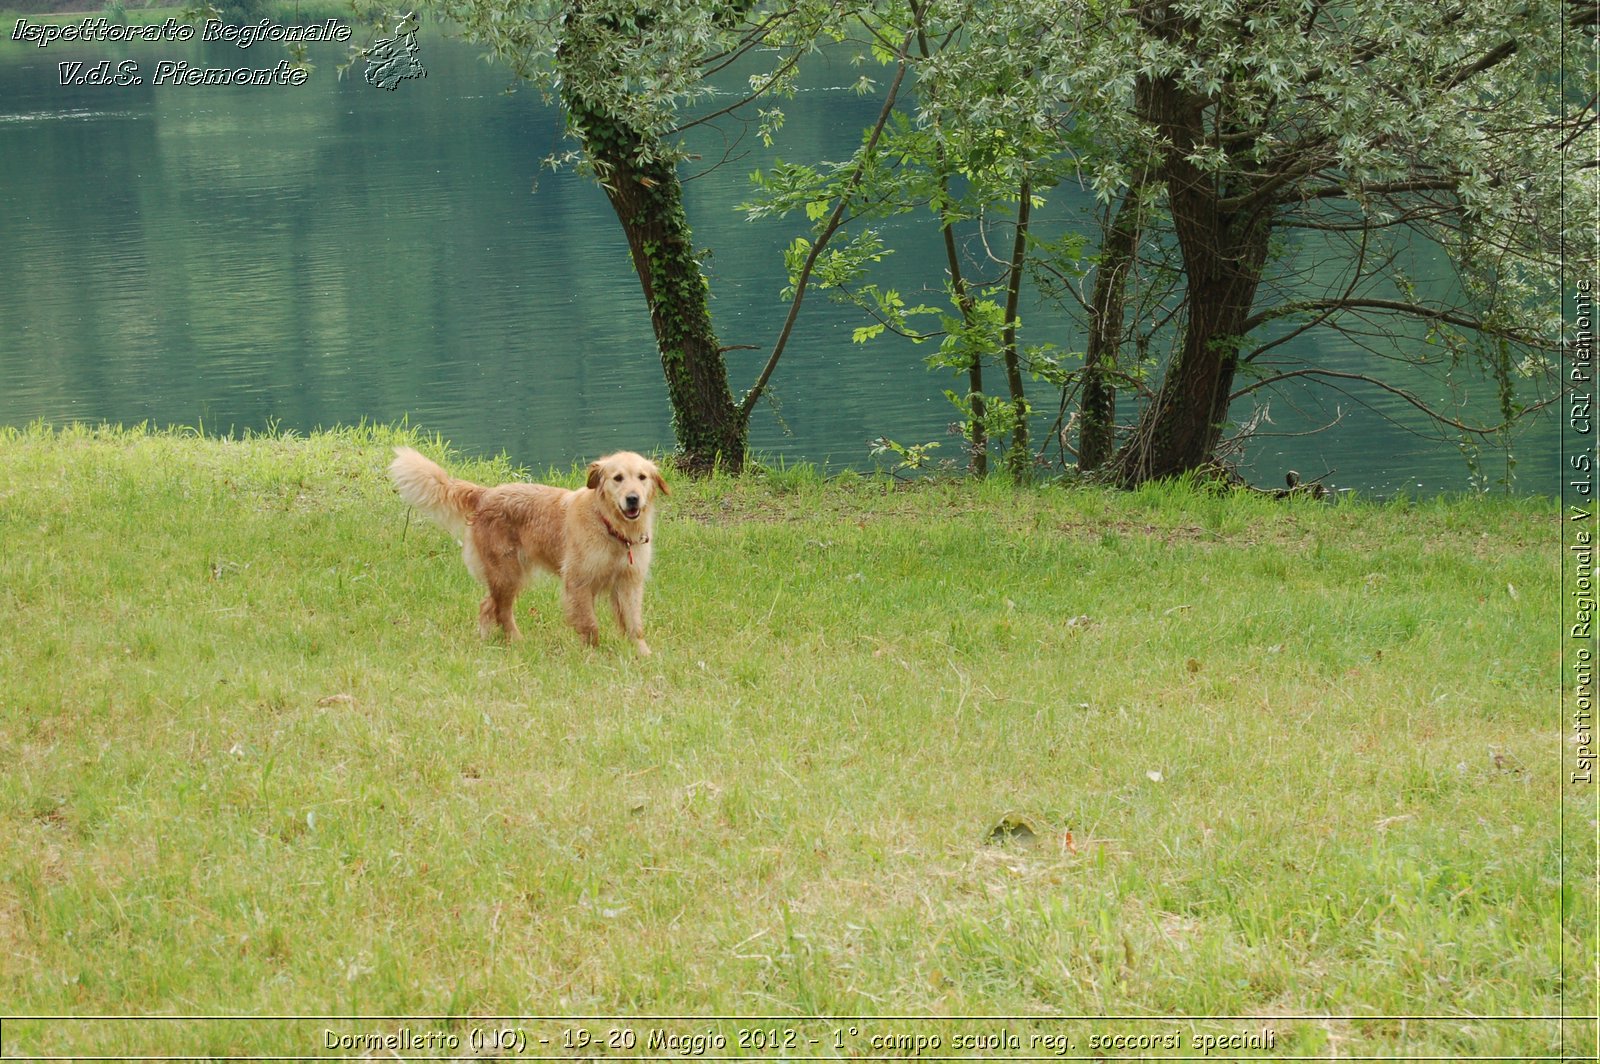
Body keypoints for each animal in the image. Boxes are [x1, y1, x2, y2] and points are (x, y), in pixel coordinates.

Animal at [393, 444, 668, 652]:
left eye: (642, 477)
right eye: (617, 478)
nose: (633, 499)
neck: (610, 526)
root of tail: (485, 494)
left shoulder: (629, 582)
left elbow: (634, 624)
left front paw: (642, 654)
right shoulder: (578, 582)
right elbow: (590, 625)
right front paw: (593, 655)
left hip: (511, 574)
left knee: (487, 605)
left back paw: (485, 639)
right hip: (506, 573)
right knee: (502, 612)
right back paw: (516, 641)